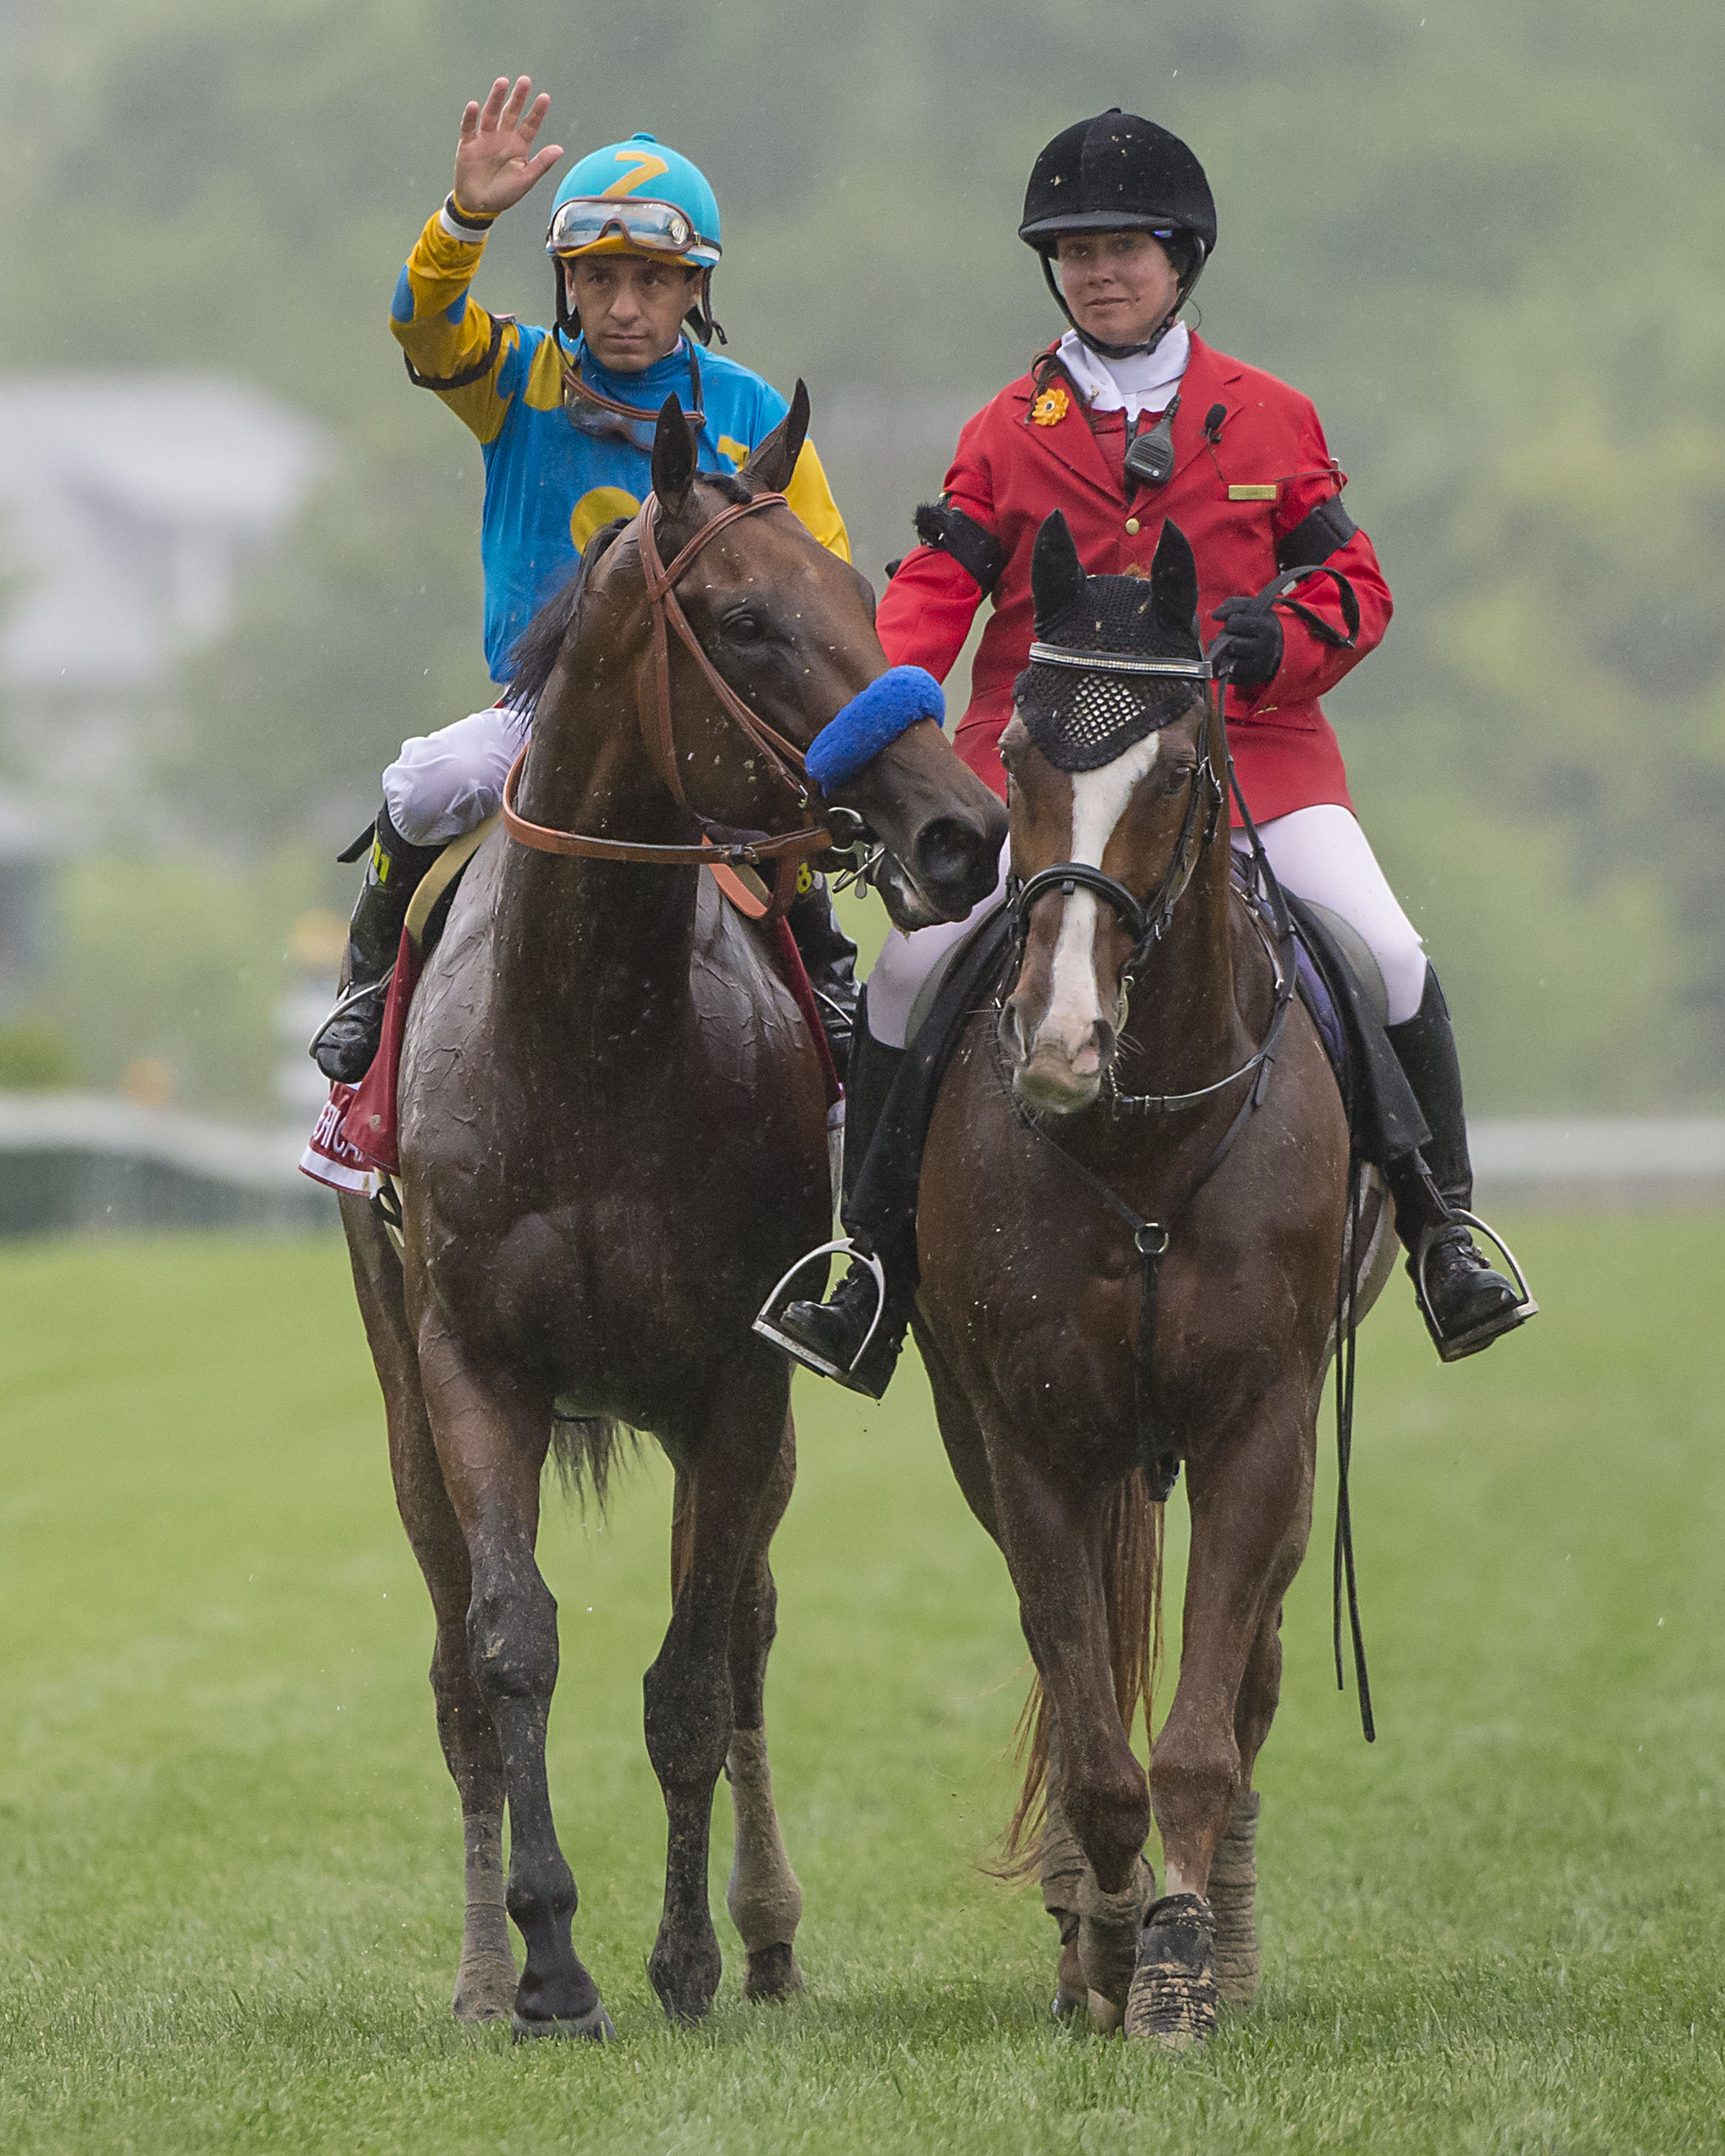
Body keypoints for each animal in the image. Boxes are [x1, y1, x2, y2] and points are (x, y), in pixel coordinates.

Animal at [343, 392, 1004, 2035]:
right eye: (745, 621)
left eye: (865, 599)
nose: (961, 830)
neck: (589, 1027)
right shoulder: (474, 1367)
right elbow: (509, 1649)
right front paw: (546, 1960)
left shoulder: (737, 1380)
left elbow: (695, 1677)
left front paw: (689, 1957)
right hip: (396, 1378)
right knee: (450, 1660)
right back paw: (476, 1973)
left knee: (747, 1634)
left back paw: (763, 1932)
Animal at [914, 513, 1397, 2043]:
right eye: (1016, 753)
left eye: (1179, 766)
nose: (1058, 1040)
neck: (1139, 1132)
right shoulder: (1026, 1435)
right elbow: (1088, 1728)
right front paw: (1114, 1943)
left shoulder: (1259, 1423)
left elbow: (1198, 1736)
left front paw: (1182, 1963)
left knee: (1252, 1679)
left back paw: (1220, 1942)